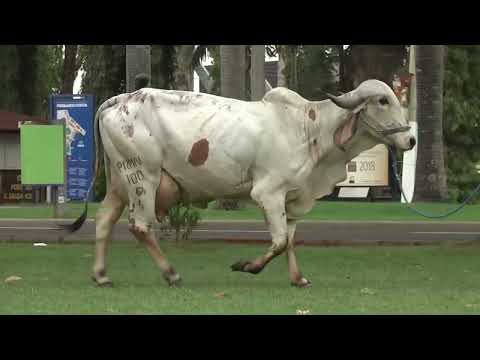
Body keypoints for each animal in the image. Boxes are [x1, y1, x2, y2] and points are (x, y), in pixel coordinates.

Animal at [62, 80, 416, 288]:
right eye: (382, 100)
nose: (410, 140)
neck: (309, 128)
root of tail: (117, 99)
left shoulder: (293, 199)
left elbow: (290, 240)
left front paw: (298, 278)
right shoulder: (268, 193)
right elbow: (279, 241)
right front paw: (246, 266)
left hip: (121, 182)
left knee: (104, 221)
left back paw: (101, 275)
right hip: (142, 176)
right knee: (140, 226)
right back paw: (171, 273)